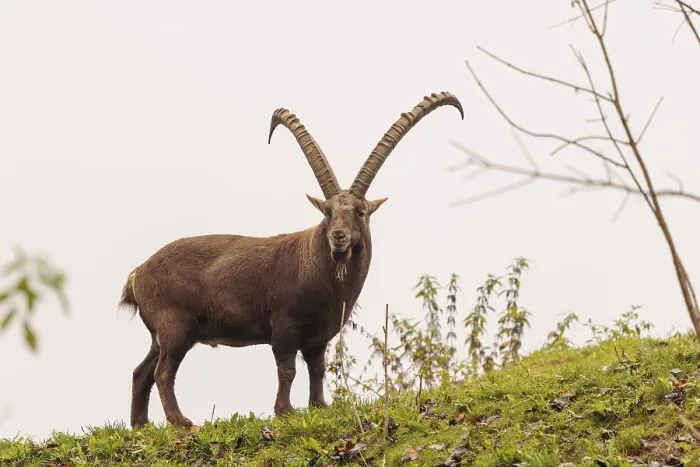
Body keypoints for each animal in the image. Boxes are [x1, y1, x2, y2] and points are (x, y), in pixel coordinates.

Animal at [118, 91, 464, 429]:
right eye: (327, 211)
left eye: (360, 211)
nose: (338, 236)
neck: (320, 272)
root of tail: (138, 274)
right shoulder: (284, 325)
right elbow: (287, 368)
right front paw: (284, 411)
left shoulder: (319, 337)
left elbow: (317, 369)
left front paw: (319, 406)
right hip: (176, 326)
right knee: (163, 372)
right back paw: (181, 422)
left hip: (160, 334)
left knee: (141, 372)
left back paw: (141, 425)